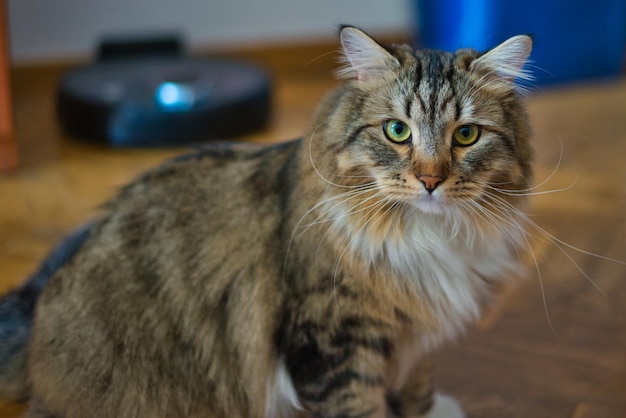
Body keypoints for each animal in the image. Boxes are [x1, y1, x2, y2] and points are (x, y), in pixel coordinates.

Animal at [0, 26, 532, 418]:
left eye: (466, 135)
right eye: (397, 131)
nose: (430, 180)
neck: (425, 237)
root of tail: (36, 313)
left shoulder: (416, 331)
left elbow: (417, 379)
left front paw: (429, 409)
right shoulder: (332, 341)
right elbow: (360, 405)